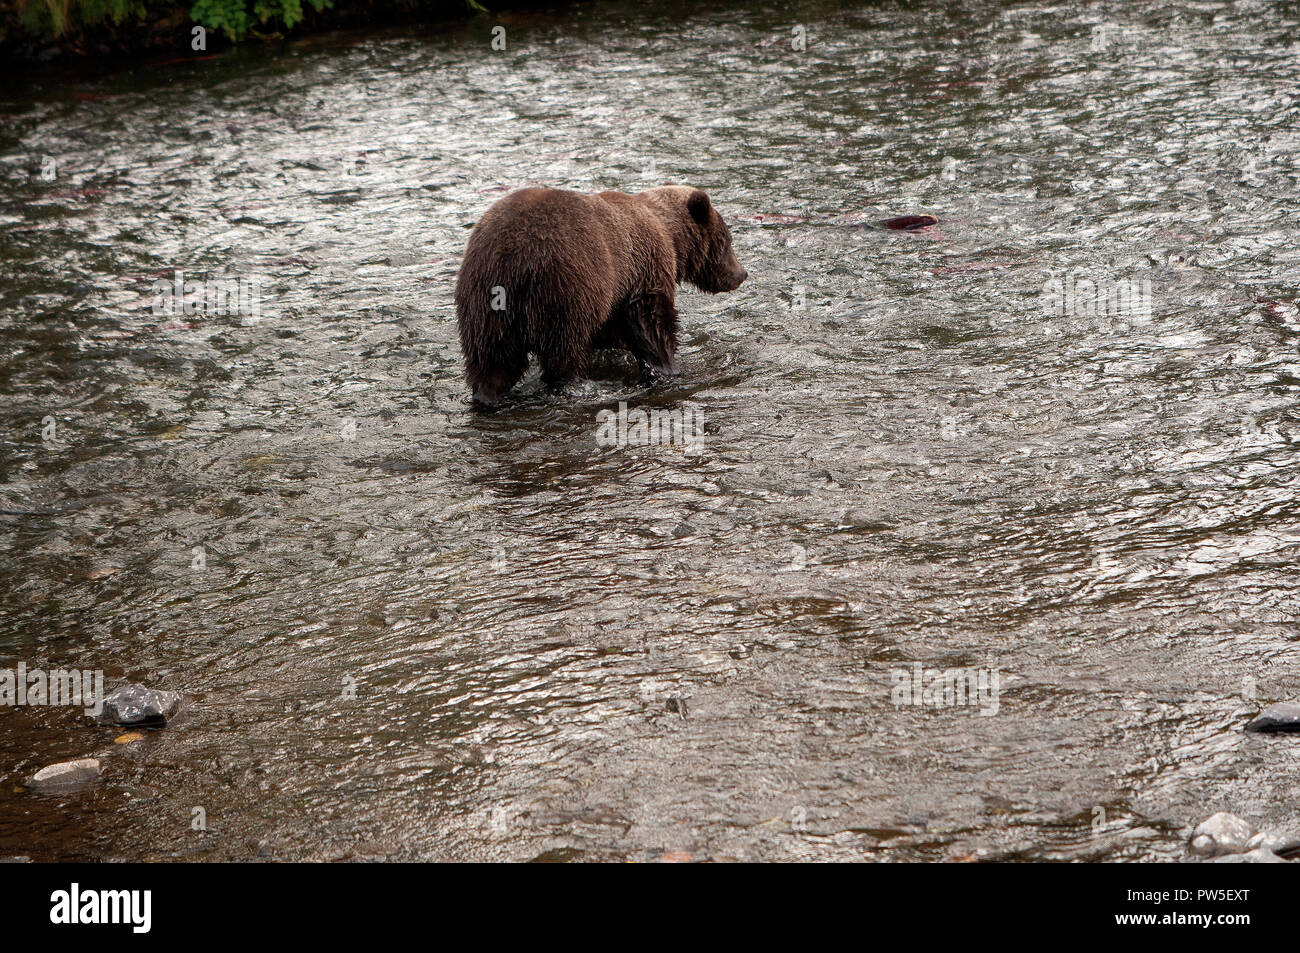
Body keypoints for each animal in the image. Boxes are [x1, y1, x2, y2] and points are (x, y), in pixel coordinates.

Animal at [454, 185, 747, 406]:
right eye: (728, 241)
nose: (741, 274)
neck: (670, 234)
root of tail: (511, 256)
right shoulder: (642, 270)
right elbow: (653, 323)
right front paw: (666, 367)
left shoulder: (615, 292)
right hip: (564, 287)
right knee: (563, 351)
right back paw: (570, 383)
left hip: (482, 299)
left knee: (491, 359)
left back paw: (486, 396)